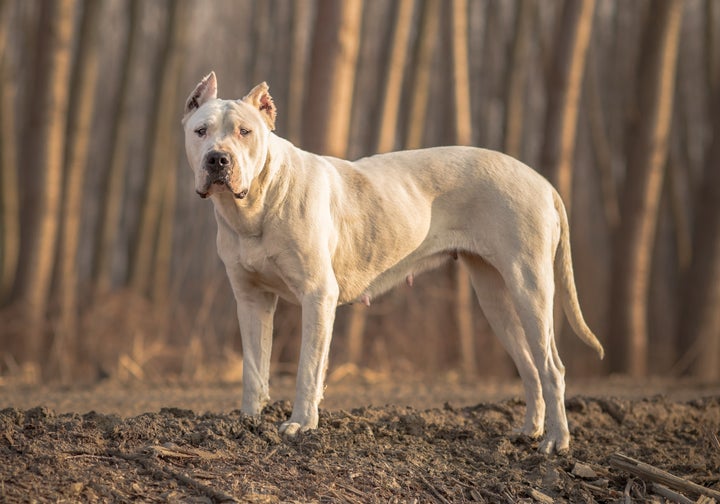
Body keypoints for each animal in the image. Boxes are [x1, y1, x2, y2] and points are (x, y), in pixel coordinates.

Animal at [180, 73, 600, 454]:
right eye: (201, 131)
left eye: (245, 132)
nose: (218, 159)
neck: (255, 205)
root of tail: (542, 182)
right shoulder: (251, 299)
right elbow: (254, 368)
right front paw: (247, 423)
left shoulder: (318, 296)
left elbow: (308, 368)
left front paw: (301, 424)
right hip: (495, 296)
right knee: (530, 366)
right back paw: (529, 431)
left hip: (530, 287)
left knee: (552, 367)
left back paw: (556, 442)